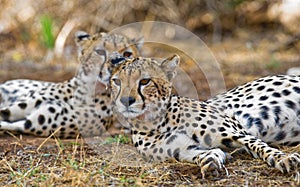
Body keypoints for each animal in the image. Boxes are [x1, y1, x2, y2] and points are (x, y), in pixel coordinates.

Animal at [109, 54, 300, 178]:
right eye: (117, 81)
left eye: (144, 81)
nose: (126, 101)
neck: (157, 122)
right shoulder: (183, 150)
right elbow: (206, 153)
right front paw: (210, 161)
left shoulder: (238, 131)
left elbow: (260, 146)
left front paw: (284, 158)